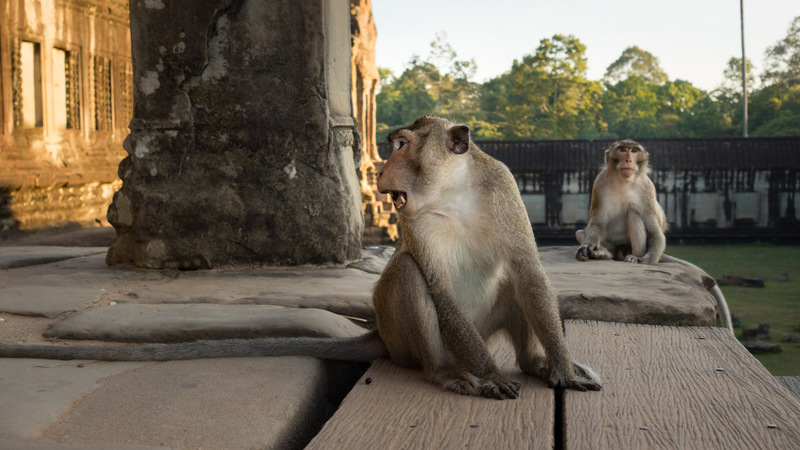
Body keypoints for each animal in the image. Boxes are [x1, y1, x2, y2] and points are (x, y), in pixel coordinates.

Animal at [0, 117, 600, 400]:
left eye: (402, 145)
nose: (381, 166)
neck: (451, 193)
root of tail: (384, 338)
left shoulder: (503, 190)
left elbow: (528, 271)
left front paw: (562, 366)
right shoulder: (412, 220)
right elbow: (435, 283)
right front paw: (490, 375)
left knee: (515, 284)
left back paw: (532, 362)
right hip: (408, 340)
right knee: (409, 277)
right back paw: (448, 373)